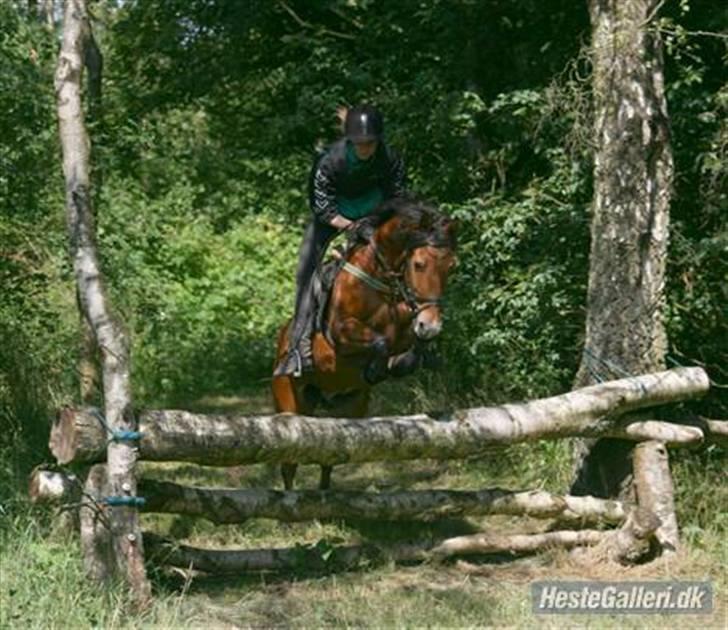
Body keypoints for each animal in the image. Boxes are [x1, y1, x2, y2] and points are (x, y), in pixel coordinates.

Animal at [270, 196, 458, 488]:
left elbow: (407, 345)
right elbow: (380, 342)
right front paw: (376, 369)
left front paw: (402, 361)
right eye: (419, 264)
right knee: (289, 464)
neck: (380, 281)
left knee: (330, 457)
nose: (431, 325)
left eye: (451, 266)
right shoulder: (339, 336)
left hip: (351, 407)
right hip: (289, 402)